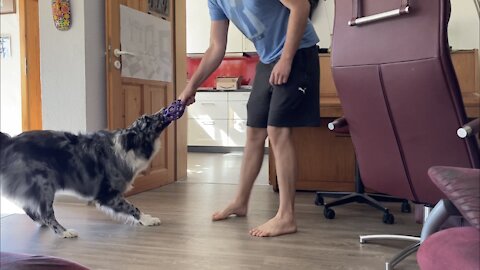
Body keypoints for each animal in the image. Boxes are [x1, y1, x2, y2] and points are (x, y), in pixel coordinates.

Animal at [0, 100, 185, 237]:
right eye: (147, 120)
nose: (165, 108)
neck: (130, 146)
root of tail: (10, 141)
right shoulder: (107, 194)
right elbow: (131, 207)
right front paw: (147, 219)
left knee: (29, 207)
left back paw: (42, 223)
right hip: (44, 183)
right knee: (46, 212)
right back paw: (64, 232)